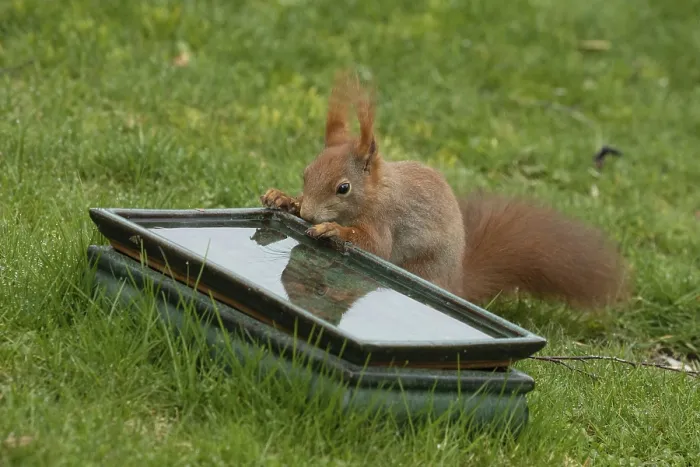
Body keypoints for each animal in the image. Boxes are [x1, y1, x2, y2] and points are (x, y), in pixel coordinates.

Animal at [260, 71, 631, 309]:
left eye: (343, 188)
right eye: (306, 173)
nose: (309, 214)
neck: (377, 191)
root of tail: (455, 283)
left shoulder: (385, 220)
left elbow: (375, 246)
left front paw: (333, 229)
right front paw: (284, 199)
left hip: (421, 268)